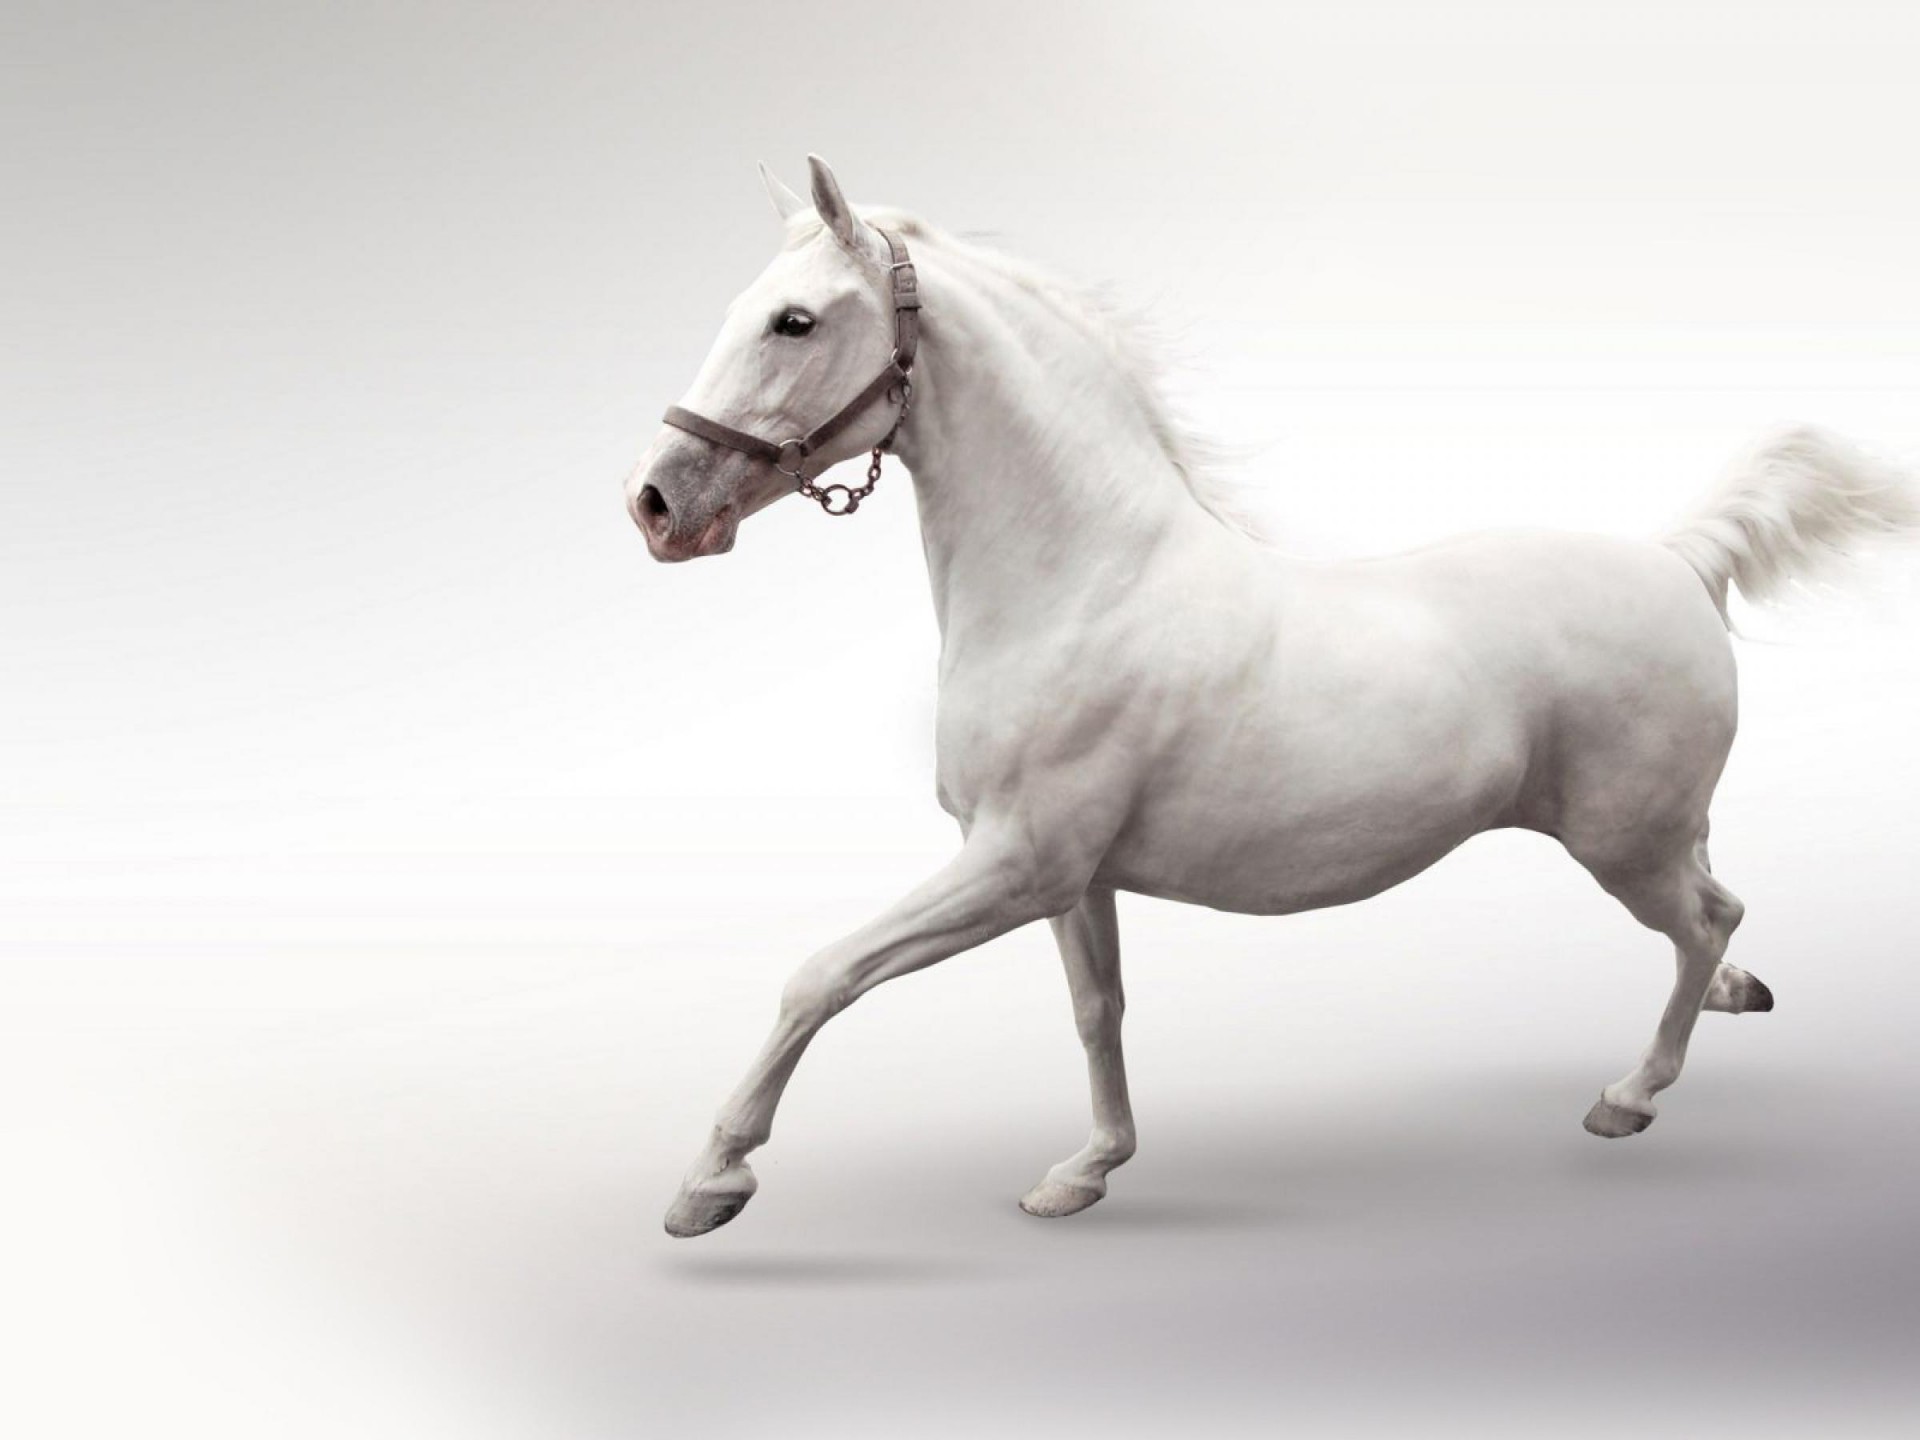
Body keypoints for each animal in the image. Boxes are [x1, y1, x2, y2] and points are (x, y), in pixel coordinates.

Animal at [626, 155, 1919, 1239]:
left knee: (1703, 921)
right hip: (1657, 829)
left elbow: (822, 974)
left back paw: (1630, 1097)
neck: (1081, 580)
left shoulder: (1013, 864)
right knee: (1721, 914)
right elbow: (1099, 1012)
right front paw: (1086, 1171)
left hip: (1622, 844)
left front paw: (710, 1182)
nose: (657, 504)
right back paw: (1735, 1003)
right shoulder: (1070, 879)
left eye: (795, 320)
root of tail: (1679, 561)